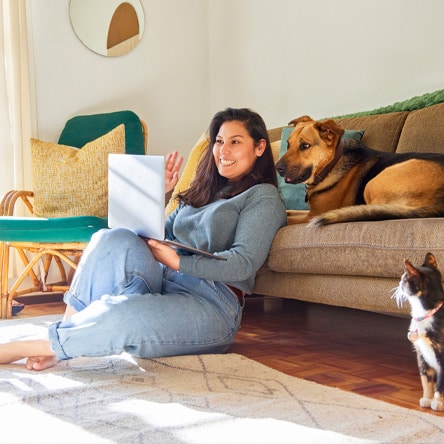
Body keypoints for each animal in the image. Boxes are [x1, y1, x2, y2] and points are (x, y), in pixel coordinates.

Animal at [276, 115, 444, 225]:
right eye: (288, 144)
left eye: (305, 145)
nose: (277, 168)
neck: (331, 164)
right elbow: (287, 212)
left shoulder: (313, 214)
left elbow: (287, 218)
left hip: (374, 183)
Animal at [394, 251, 442, 412]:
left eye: (404, 279)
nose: (398, 283)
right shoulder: (421, 354)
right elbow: (425, 380)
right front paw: (427, 398)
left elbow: (441, 383)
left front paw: (438, 402)